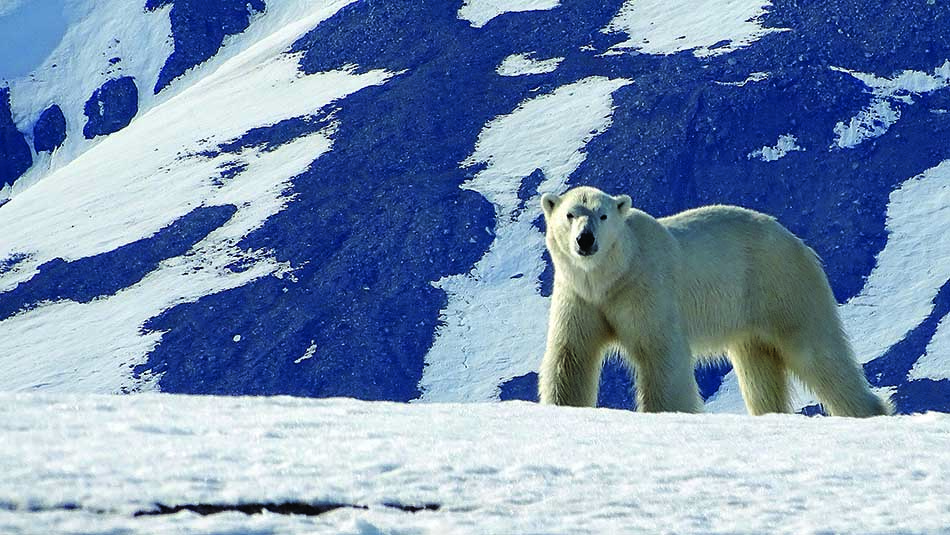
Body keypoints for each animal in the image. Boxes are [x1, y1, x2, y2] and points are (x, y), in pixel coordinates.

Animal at [538, 186, 892, 417]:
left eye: (602, 215)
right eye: (570, 214)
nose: (585, 239)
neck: (609, 276)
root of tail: (797, 241)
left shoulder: (645, 289)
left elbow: (661, 354)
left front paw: (668, 412)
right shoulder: (578, 296)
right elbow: (571, 354)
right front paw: (561, 407)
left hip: (782, 285)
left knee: (817, 351)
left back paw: (869, 410)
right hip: (750, 317)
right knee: (759, 373)